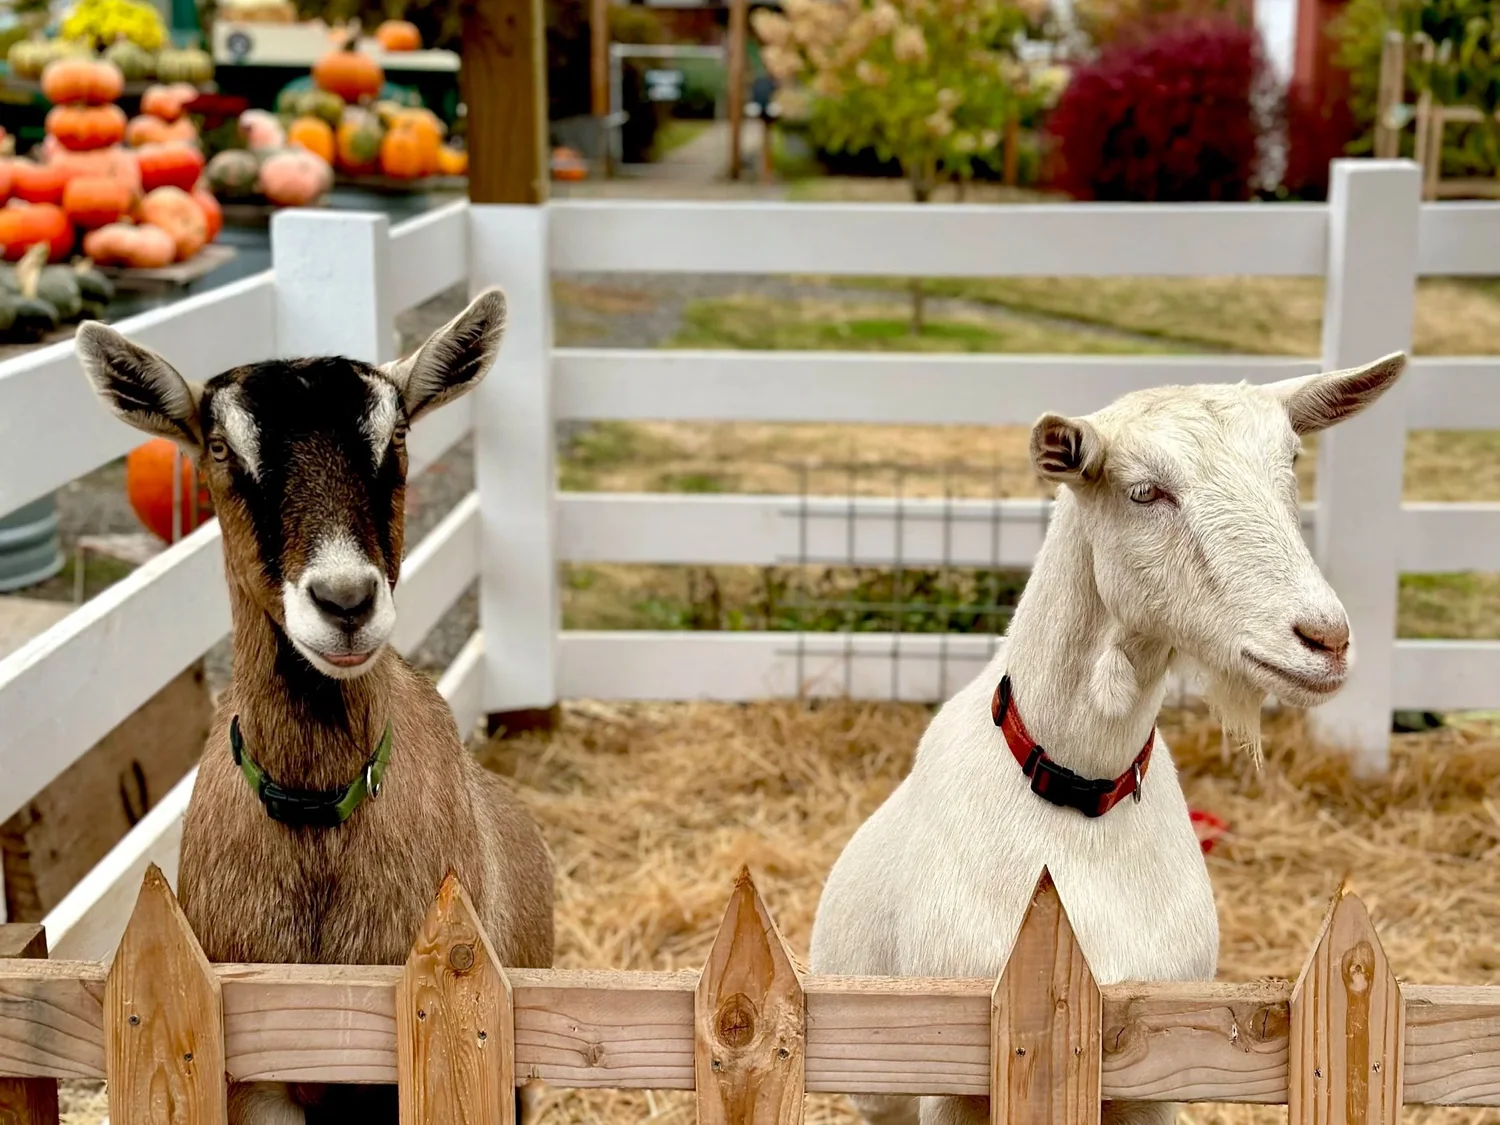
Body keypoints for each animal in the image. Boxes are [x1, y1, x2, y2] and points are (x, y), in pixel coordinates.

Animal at [808, 355, 1407, 1125]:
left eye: (1291, 463)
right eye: (1144, 490)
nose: (1325, 639)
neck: (1076, 792)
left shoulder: (1155, 1065)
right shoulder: (952, 1076)